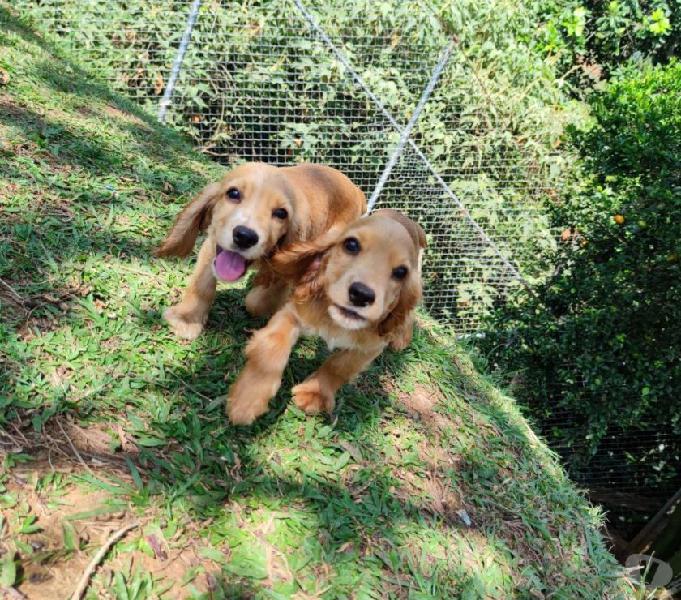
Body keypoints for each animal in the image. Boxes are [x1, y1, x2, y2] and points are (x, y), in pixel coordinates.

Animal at [155, 162, 366, 340]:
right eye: (233, 193)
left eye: (281, 213)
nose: (245, 236)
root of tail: (357, 190)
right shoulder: (213, 243)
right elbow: (202, 284)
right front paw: (186, 319)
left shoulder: (287, 266)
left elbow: (256, 302)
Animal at [226, 209, 424, 424]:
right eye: (351, 244)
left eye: (401, 272)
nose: (361, 294)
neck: (335, 322)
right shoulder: (293, 313)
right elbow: (273, 345)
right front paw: (248, 398)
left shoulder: (370, 347)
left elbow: (339, 367)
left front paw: (315, 394)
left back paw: (401, 338)